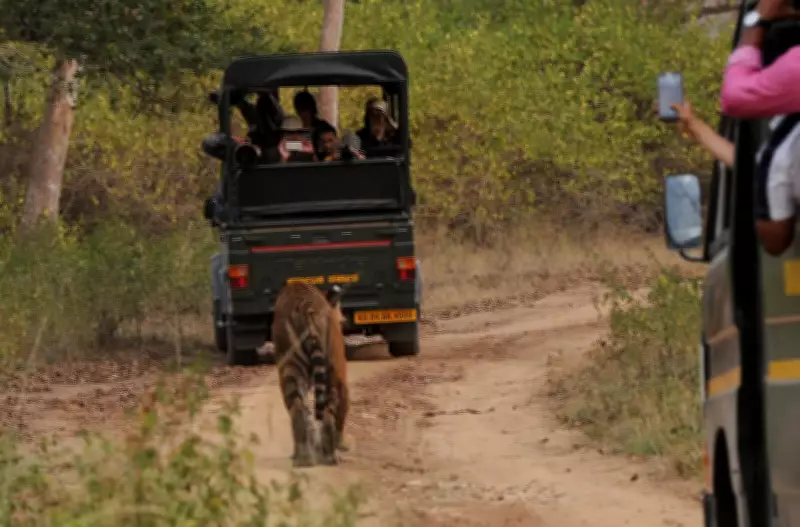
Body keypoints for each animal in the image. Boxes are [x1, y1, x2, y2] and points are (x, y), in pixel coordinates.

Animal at [271, 281, 350, 467]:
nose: (344, 320)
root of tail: (305, 306)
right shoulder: (342, 376)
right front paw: (341, 445)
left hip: (291, 369)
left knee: (299, 409)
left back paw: (304, 459)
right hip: (332, 372)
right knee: (327, 412)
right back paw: (328, 456)